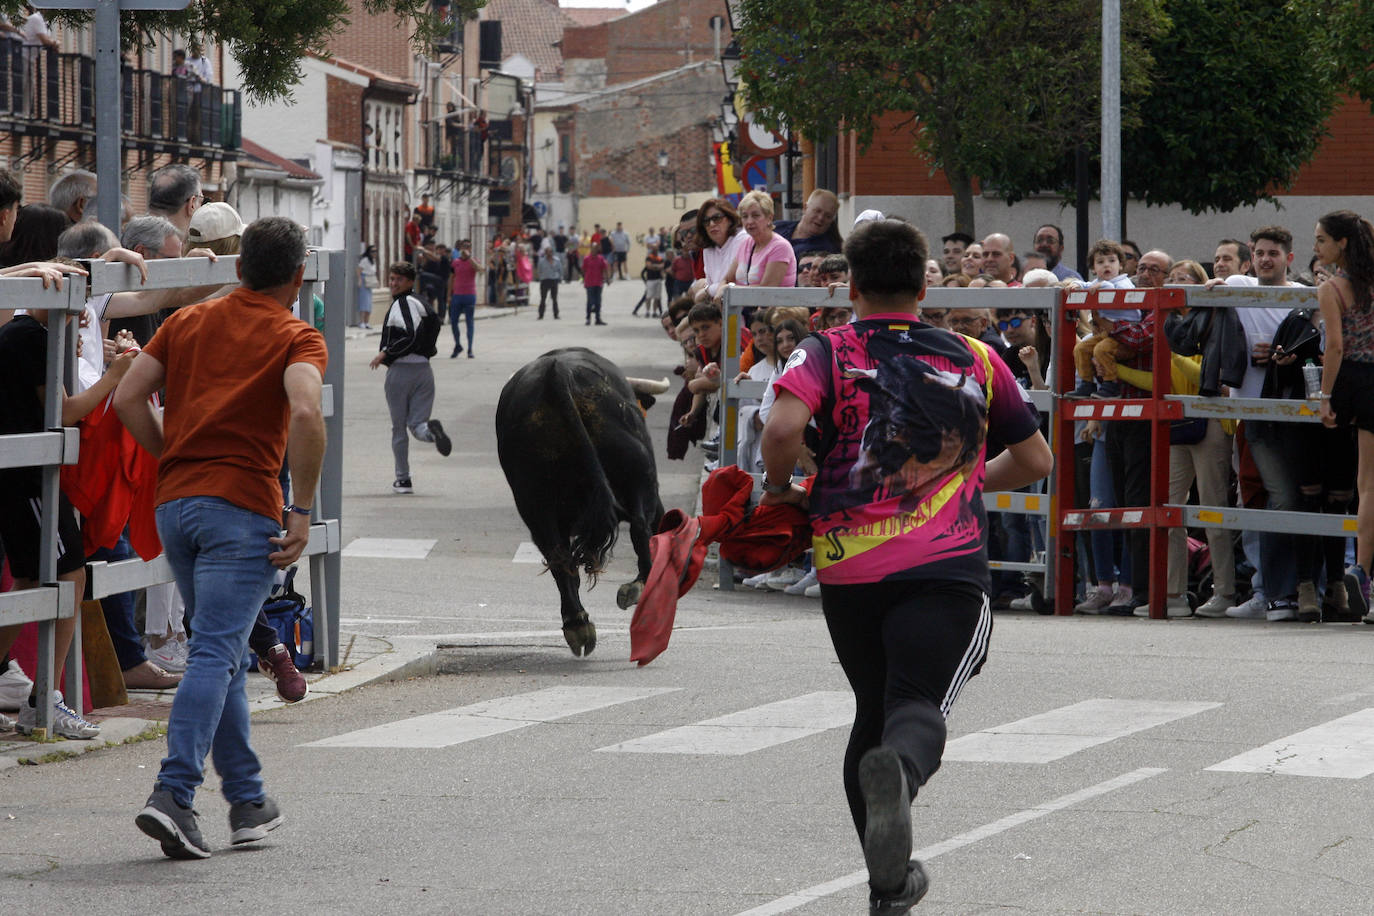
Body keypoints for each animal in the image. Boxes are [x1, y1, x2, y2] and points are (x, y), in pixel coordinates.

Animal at [494, 347, 665, 656]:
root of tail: (557, 374)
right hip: (641, 475)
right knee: (640, 528)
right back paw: (638, 587)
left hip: (534, 503)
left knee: (559, 558)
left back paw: (577, 625)